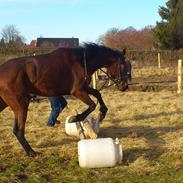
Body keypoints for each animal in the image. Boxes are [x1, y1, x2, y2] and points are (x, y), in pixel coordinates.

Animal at [0, 43, 128, 156]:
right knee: (18, 130)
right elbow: (92, 105)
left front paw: (102, 113)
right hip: (21, 104)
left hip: (8, 103)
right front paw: (74, 118)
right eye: (122, 66)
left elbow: (98, 94)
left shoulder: (84, 88)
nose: (125, 86)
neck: (81, 62)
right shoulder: (77, 91)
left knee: (16, 130)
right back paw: (31, 152)